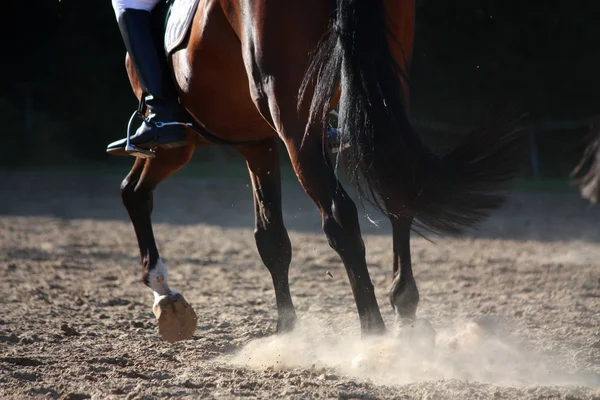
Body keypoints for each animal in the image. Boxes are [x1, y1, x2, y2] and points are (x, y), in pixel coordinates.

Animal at [115, 0, 524, 344]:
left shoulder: (189, 143)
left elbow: (133, 193)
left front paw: (164, 293)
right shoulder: (256, 142)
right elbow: (272, 239)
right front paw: (287, 331)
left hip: (287, 123)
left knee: (339, 218)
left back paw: (373, 337)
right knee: (398, 196)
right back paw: (403, 314)